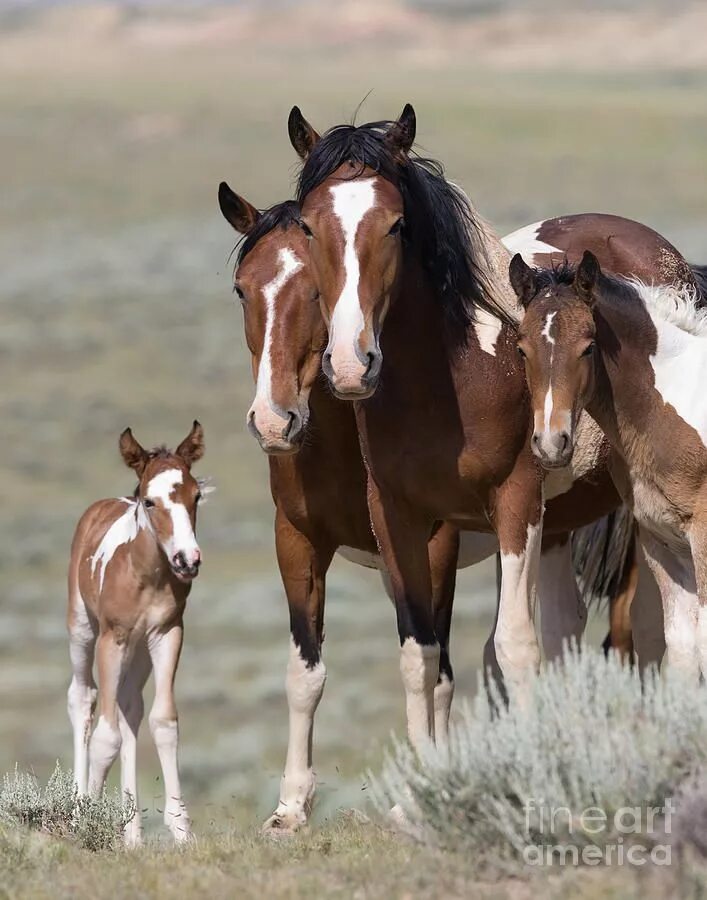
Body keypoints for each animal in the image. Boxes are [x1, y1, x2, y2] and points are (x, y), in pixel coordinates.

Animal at [67, 422, 205, 844]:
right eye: (149, 501)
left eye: (197, 495)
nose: (187, 560)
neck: (146, 575)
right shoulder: (112, 638)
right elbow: (105, 736)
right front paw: (88, 822)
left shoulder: (167, 633)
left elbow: (163, 721)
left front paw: (180, 828)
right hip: (82, 629)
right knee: (83, 698)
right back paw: (78, 812)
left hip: (140, 650)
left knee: (130, 706)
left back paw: (132, 836)